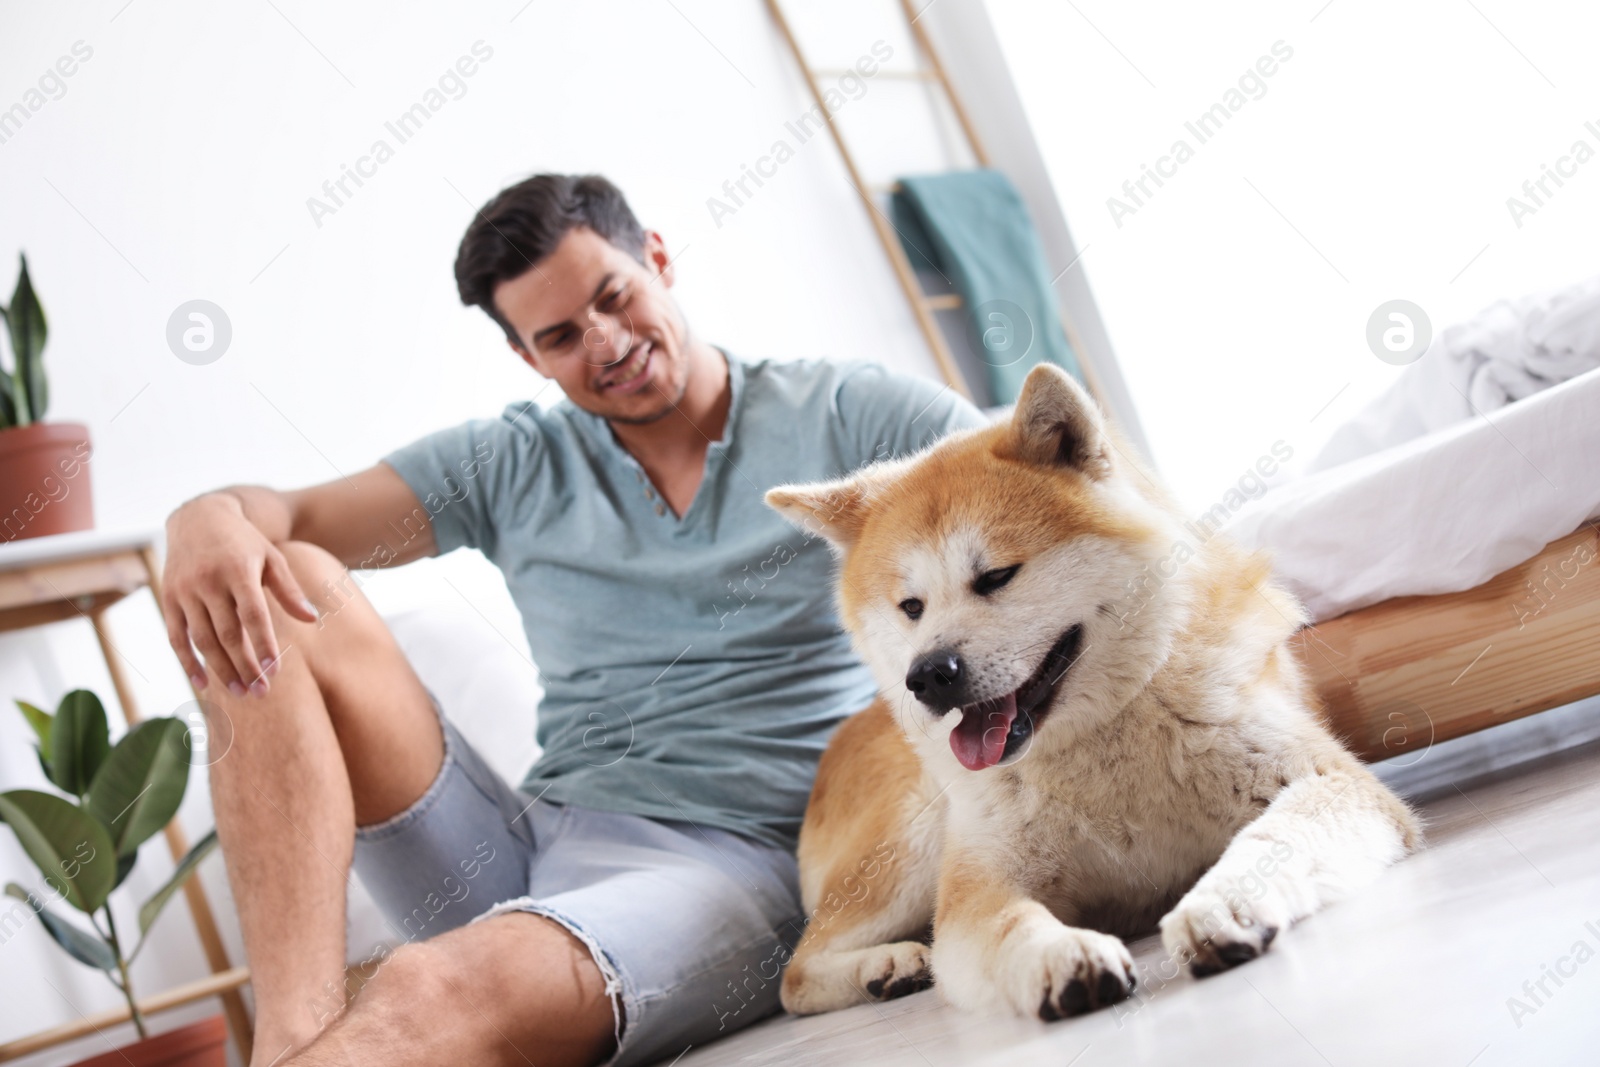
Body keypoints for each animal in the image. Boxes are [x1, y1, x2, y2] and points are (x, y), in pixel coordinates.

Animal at [768, 364, 1420, 1017]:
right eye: (910, 607)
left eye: (996, 576)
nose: (928, 675)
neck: (1100, 744)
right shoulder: (977, 883)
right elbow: (1012, 924)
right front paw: (1059, 955)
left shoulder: (1334, 783)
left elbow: (1269, 839)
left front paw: (1224, 902)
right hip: (918, 834)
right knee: (793, 976)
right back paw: (886, 965)